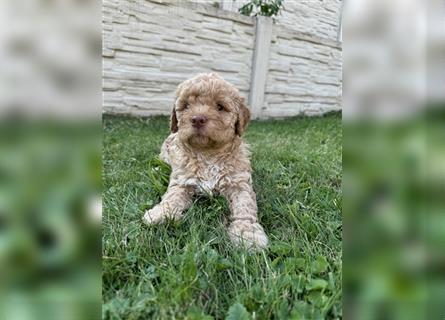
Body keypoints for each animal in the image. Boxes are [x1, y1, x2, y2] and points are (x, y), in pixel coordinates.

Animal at [143, 73, 268, 250]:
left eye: (220, 106)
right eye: (186, 106)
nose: (197, 119)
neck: (208, 153)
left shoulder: (239, 183)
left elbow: (244, 206)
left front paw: (247, 233)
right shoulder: (182, 180)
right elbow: (172, 196)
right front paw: (160, 213)